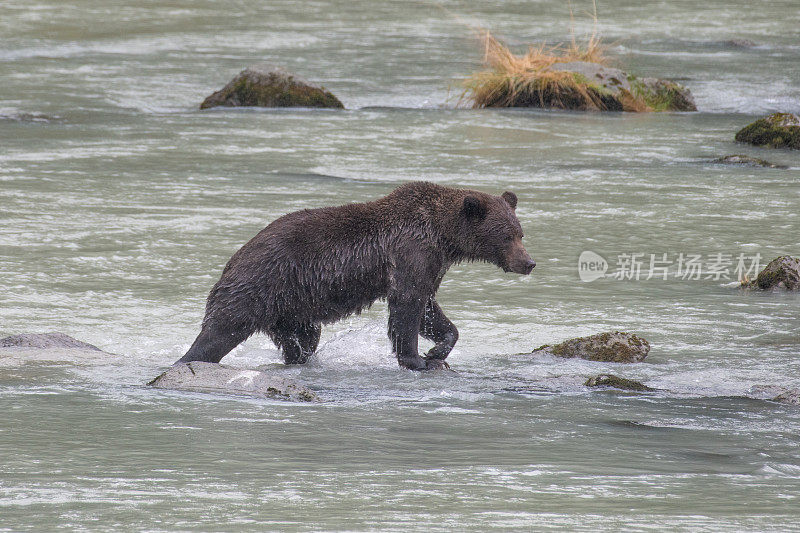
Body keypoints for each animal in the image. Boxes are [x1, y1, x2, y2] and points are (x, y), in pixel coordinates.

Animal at [176, 181, 536, 368]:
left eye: (520, 232)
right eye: (507, 236)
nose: (529, 262)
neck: (444, 237)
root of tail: (231, 261)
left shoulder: (432, 263)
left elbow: (429, 310)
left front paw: (438, 352)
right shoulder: (410, 252)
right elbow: (408, 306)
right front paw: (417, 358)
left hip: (292, 309)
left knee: (303, 340)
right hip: (258, 286)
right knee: (220, 331)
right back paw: (190, 359)